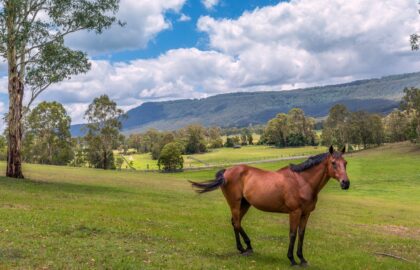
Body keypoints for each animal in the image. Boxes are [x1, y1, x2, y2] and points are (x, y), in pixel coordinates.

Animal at [189, 146, 348, 266]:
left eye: (345, 163)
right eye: (333, 162)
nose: (346, 183)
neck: (302, 182)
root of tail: (226, 171)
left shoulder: (306, 213)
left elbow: (301, 234)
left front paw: (302, 259)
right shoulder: (294, 212)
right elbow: (292, 233)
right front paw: (292, 259)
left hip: (245, 204)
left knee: (235, 222)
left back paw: (245, 248)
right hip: (234, 204)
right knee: (236, 223)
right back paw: (245, 247)